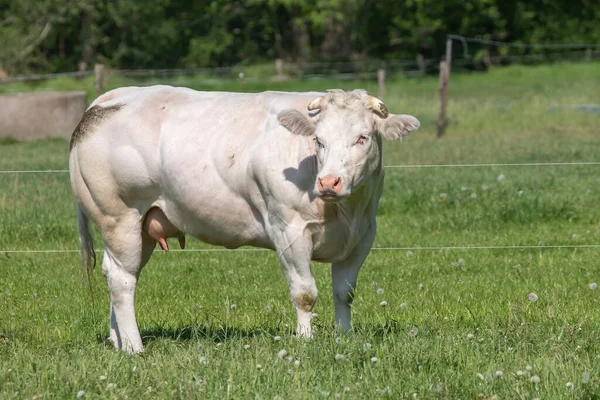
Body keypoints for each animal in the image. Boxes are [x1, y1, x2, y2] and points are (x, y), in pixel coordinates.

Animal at [68, 86, 420, 352]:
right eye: (318, 140)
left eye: (363, 137)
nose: (329, 182)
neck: (344, 211)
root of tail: (107, 101)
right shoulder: (288, 230)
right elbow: (305, 292)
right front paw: (305, 340)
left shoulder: (362, 235)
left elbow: (343, 292)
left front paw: (343, 337)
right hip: (119, 217)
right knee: (122, 280)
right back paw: (134, 346)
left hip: (142, 228)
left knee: (113, 271)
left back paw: (117, 339)